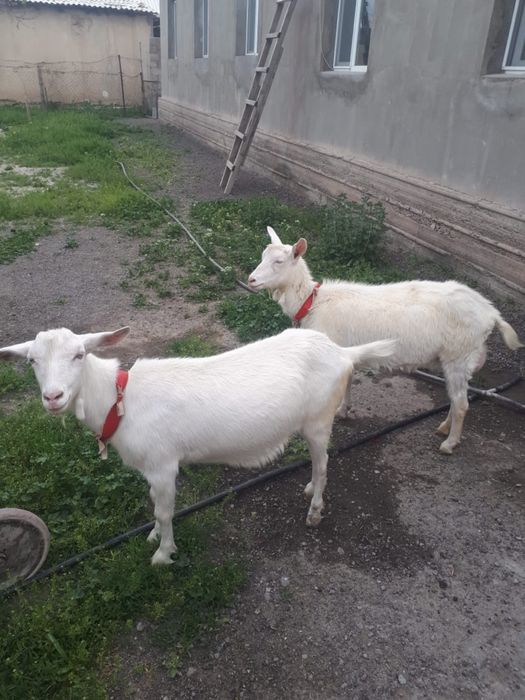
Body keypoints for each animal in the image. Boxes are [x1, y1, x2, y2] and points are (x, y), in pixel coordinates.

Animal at [0, 327, 395, 565]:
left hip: (318, 419)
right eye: (32, 360)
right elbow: (155, 505)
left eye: (79, 355)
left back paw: (314, 510)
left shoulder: (163, 465)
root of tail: (343, 353)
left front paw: (163, 554)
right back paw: (311, 488)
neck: (120, 401)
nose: (53, 397)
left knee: (324, 461)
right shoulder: (151, 469)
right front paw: (153, 537)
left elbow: (164, 510)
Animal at [247, 226, 523, 454]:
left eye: (279, 261)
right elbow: (349, 383)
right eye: (263, 256)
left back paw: (449, 443)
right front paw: (345, 411)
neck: (312, 302)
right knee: (458, 399)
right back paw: (444, 427)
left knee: (462, 403)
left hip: (459, 354)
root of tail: (491, 312)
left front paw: (338, 412)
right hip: (458, 359)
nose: (251, 280)